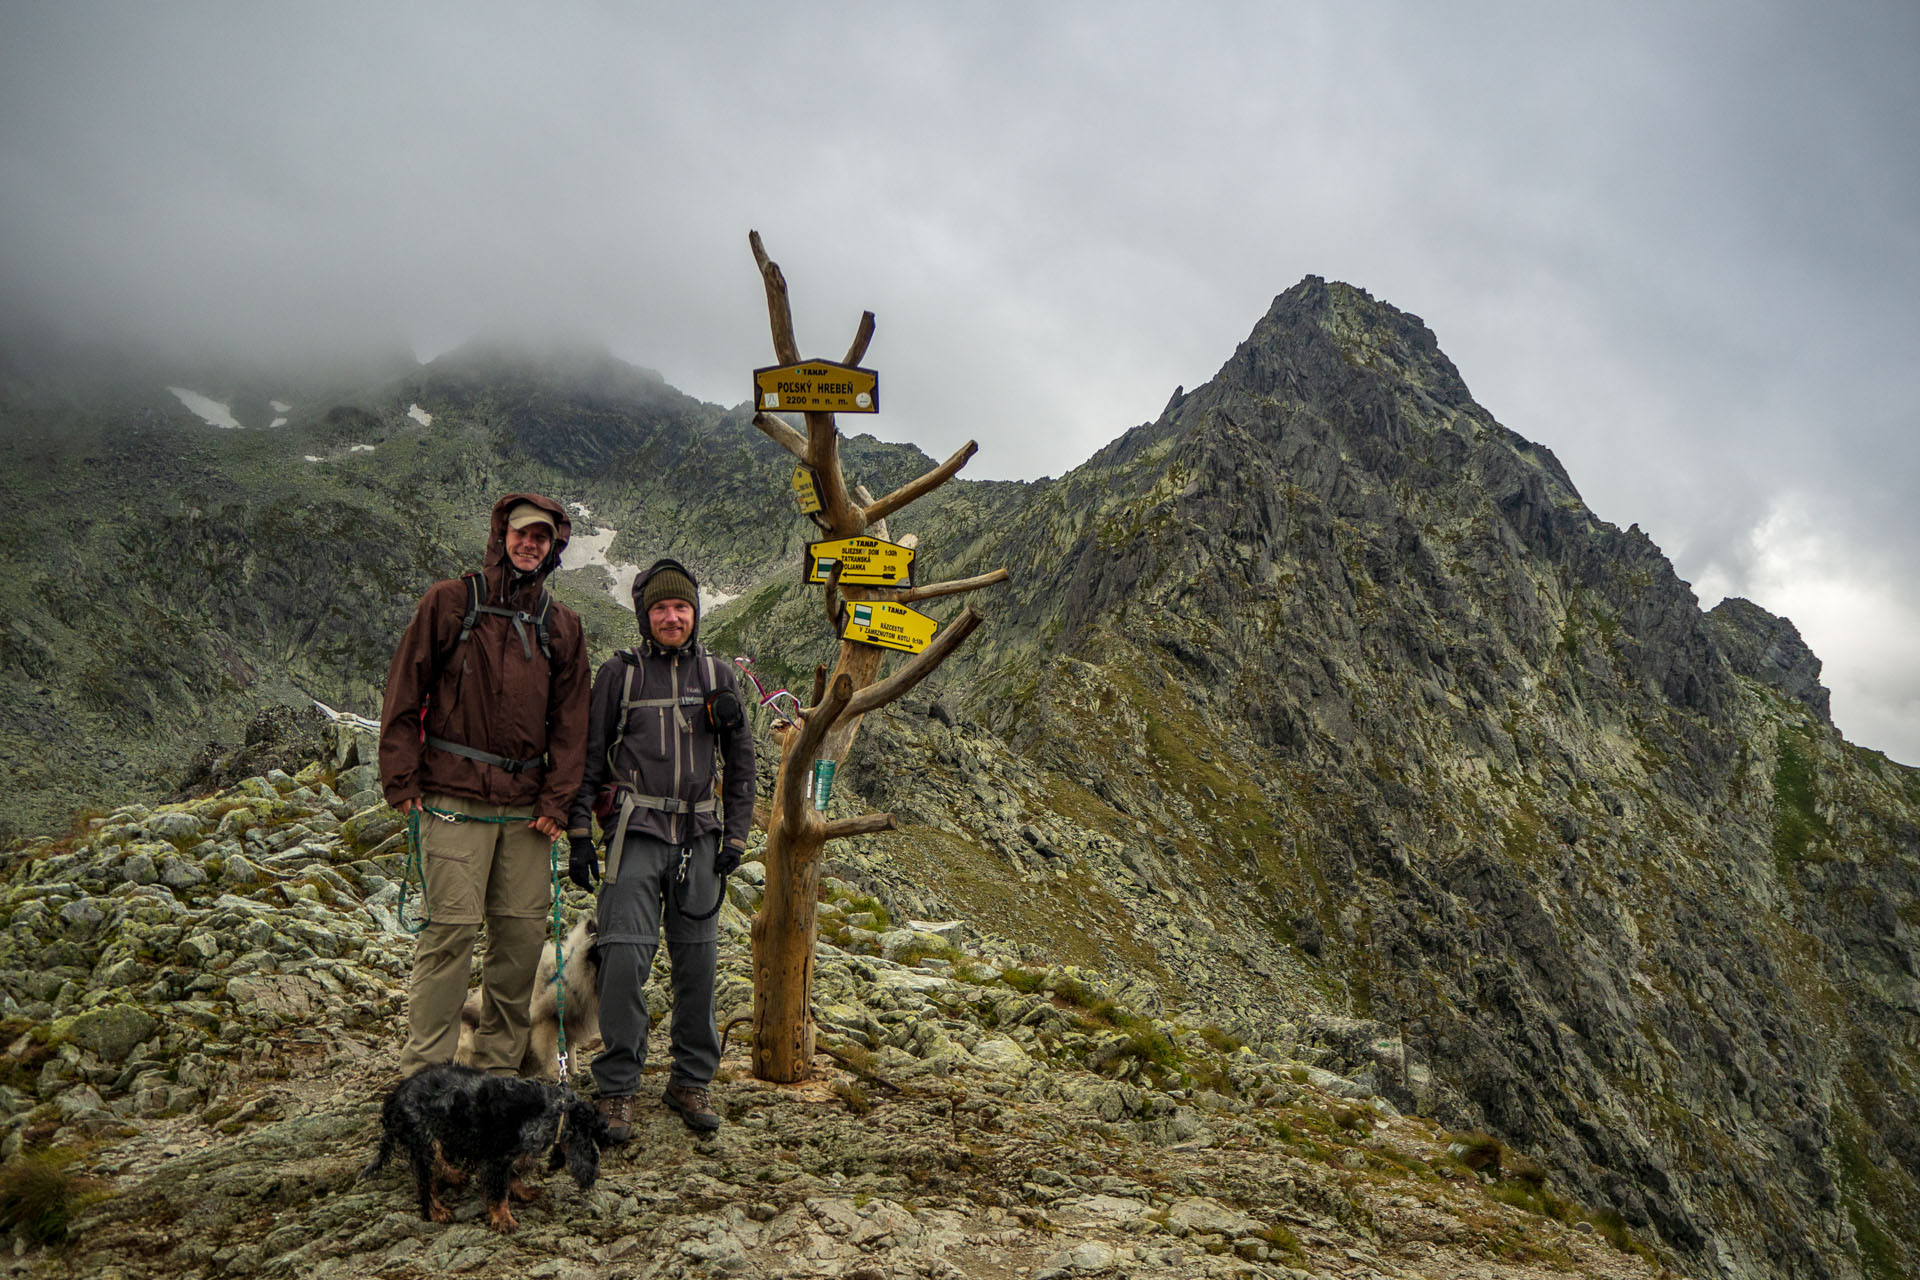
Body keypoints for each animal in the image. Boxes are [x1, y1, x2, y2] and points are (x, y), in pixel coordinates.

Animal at [362, 1059, 610, 1228]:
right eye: (592, 1137)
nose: (594, 1173)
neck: (553, 1111)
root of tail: (394, 1099)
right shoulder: (496, 1157)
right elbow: (498, 1191)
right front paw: (504, 1220)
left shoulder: (510, 1153)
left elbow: (513, 1177)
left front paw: (523, 1192)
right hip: (424, 1140)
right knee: (425, 1181)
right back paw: (436, 1211)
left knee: (438, 1163)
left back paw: (455, 1176)